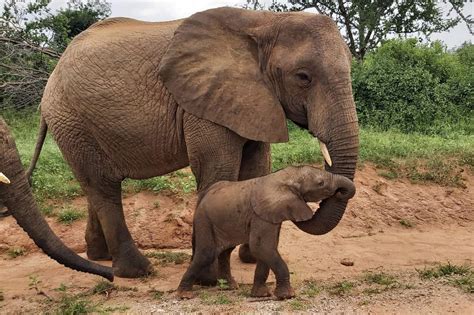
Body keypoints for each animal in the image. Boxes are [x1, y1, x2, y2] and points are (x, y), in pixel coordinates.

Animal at [26, 6, 360, 278]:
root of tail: (52, 76)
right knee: (104, 186)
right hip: (71, 118)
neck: (265, 21)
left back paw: (100, 256)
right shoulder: (204, 103)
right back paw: (138, 271)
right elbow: (218, 172)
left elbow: (256, 168)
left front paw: (251, 258)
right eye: (303, 77)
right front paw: (210, 268)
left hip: (73, 124)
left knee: (92, 185)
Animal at [178, 167, 356, 300]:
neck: (285, 177)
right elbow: (261, 248)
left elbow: (267, 250)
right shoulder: (260, 215)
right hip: (204, 220)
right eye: (320, 183)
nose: (340, 192)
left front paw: (261, 295)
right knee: (206, 254)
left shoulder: (270, 215)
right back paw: (184, 295)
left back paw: (230, 287)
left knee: (225, 252)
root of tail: (202, 196)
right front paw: (287, 296)